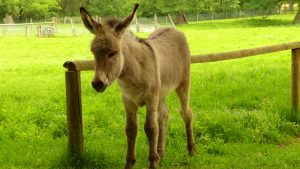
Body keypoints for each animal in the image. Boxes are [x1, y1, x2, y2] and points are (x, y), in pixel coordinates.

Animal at [80, 3, 197, 169]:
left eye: (113, 53)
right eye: (93, 52)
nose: (97, 84)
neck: (132, 74)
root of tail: (173, 29)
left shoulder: (150, 98)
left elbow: (151, 128)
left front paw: (152, 163)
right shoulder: (128, 100)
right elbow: (131, 129)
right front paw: (131, 162)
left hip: (183, 84)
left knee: (186, 113)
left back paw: (191, 149)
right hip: (161, 93)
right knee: (164, 115)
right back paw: (160, 154)